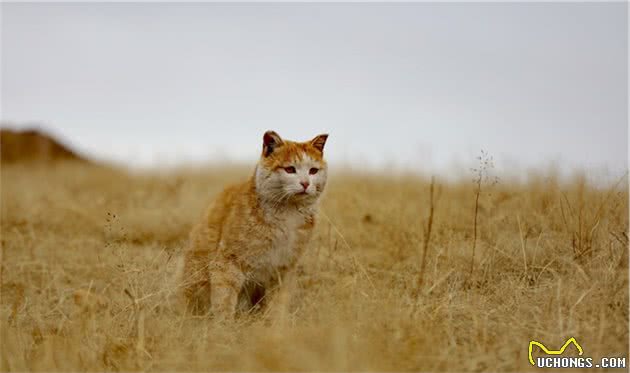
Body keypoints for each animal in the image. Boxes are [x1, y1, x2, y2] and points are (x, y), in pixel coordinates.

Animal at [183, 130, 330, 316]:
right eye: (290, 169)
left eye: (313, 171)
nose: (305, 183)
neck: (288, 214)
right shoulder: (227, 264)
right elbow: (224, 301)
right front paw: (223, 323)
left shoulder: (283, 268)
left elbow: (278, 304)